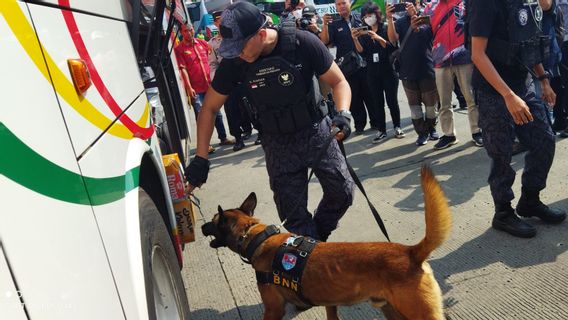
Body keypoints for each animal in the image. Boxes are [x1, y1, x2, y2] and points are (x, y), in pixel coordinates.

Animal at [202, 166, 450, 318]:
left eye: (213, 222)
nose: (202, 226)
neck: (256, 236)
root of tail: (411, 252)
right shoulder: (330, 303)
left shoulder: (273, 310)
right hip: (394, 311)